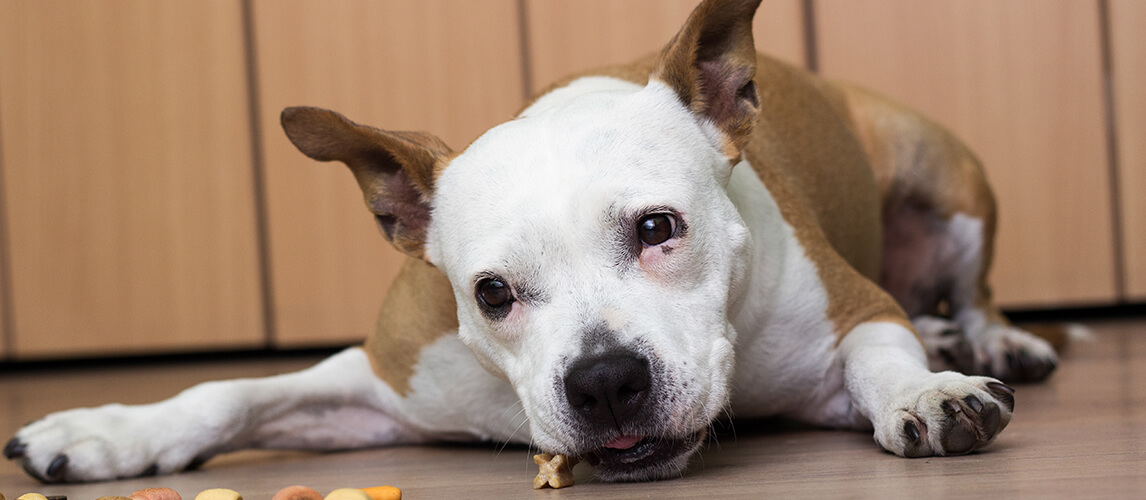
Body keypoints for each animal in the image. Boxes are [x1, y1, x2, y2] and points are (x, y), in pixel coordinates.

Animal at [2, 0, 1054, 483]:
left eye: (658, 229)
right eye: (492, 294)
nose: (605, 381)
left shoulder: (852, 311)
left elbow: (883, 358)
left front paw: (927, 390)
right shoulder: (389, 381)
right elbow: (232, 393)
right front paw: (108, 431)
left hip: (943, 174)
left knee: (969, 288)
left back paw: (993, 340)